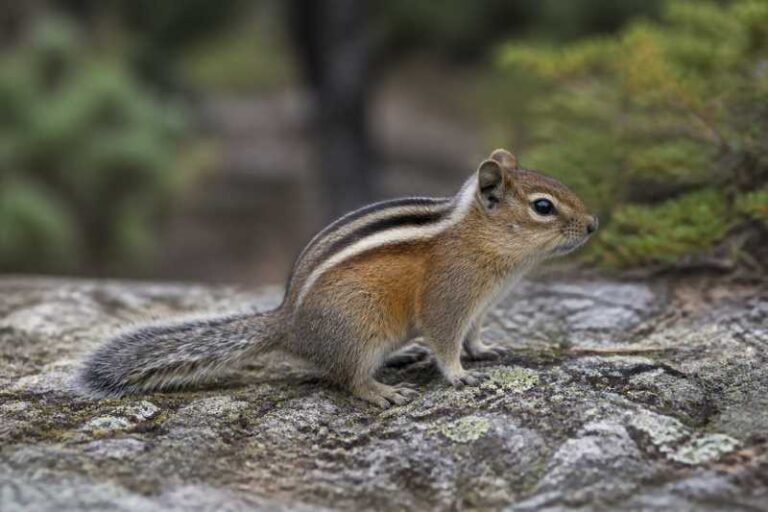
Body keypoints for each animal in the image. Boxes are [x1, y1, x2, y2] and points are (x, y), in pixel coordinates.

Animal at [80, 149, 597, 408]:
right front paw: (459, 375)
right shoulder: (449, 299)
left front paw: (486, 351)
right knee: (347, 377)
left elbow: (472, 335)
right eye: (543, 207)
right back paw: (382, 391)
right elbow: (446, 341)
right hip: (359, 327)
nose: (593, 225)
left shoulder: (479, 308)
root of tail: (288, 323)